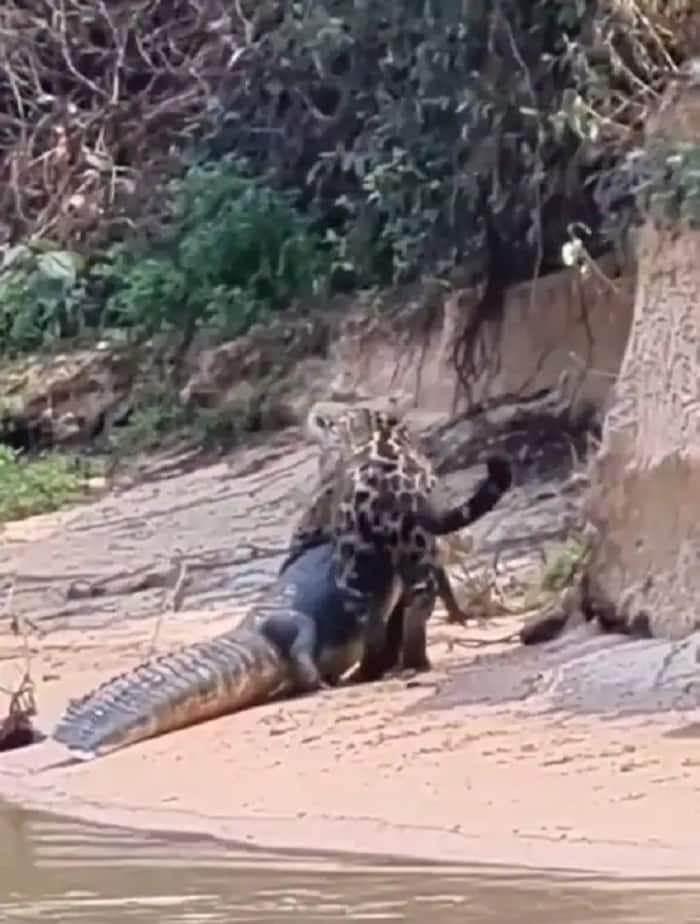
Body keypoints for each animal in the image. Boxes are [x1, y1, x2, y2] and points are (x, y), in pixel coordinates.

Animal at [281, 399, 513, 682]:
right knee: (417, 607)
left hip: (354, 567)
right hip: (415, 550)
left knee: (372, 624)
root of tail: (393, 485)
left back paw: (369, 671)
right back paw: (415, 661)